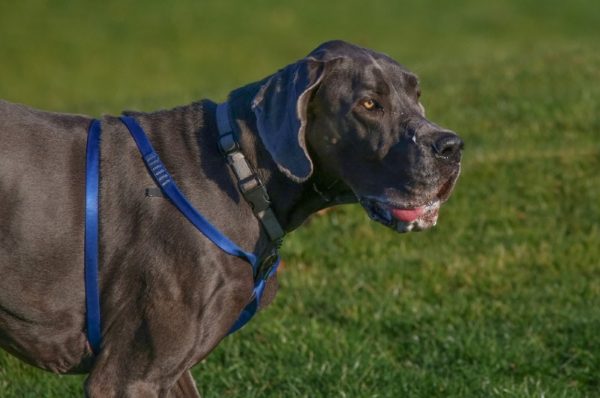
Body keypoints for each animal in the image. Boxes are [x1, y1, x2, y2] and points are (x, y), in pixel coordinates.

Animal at [0, 40, 464, 394]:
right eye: (369, 104)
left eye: (417, 96)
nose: (452, 147)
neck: (240, 171)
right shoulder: (129, 375)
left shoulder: (170, 369)